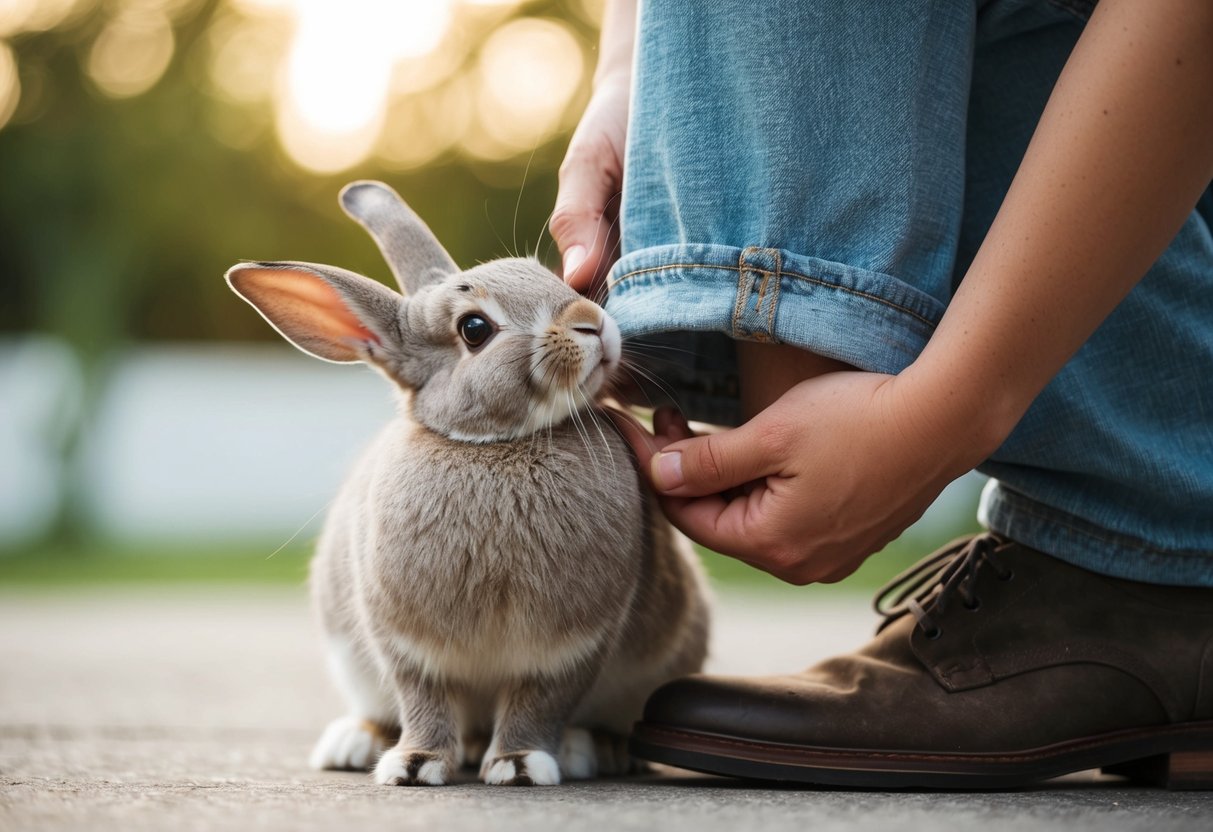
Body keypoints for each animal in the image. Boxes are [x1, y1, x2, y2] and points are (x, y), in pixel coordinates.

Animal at [225, 181, 710, 787]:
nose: (591, 321)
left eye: (545, 274)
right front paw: (414, 765)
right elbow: (423, 701)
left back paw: (589, 749)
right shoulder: (406, 648)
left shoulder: (570, 648)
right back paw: (355, 743)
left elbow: (539, 702)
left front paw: (520, 765)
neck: (491, 444)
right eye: (474, 329)